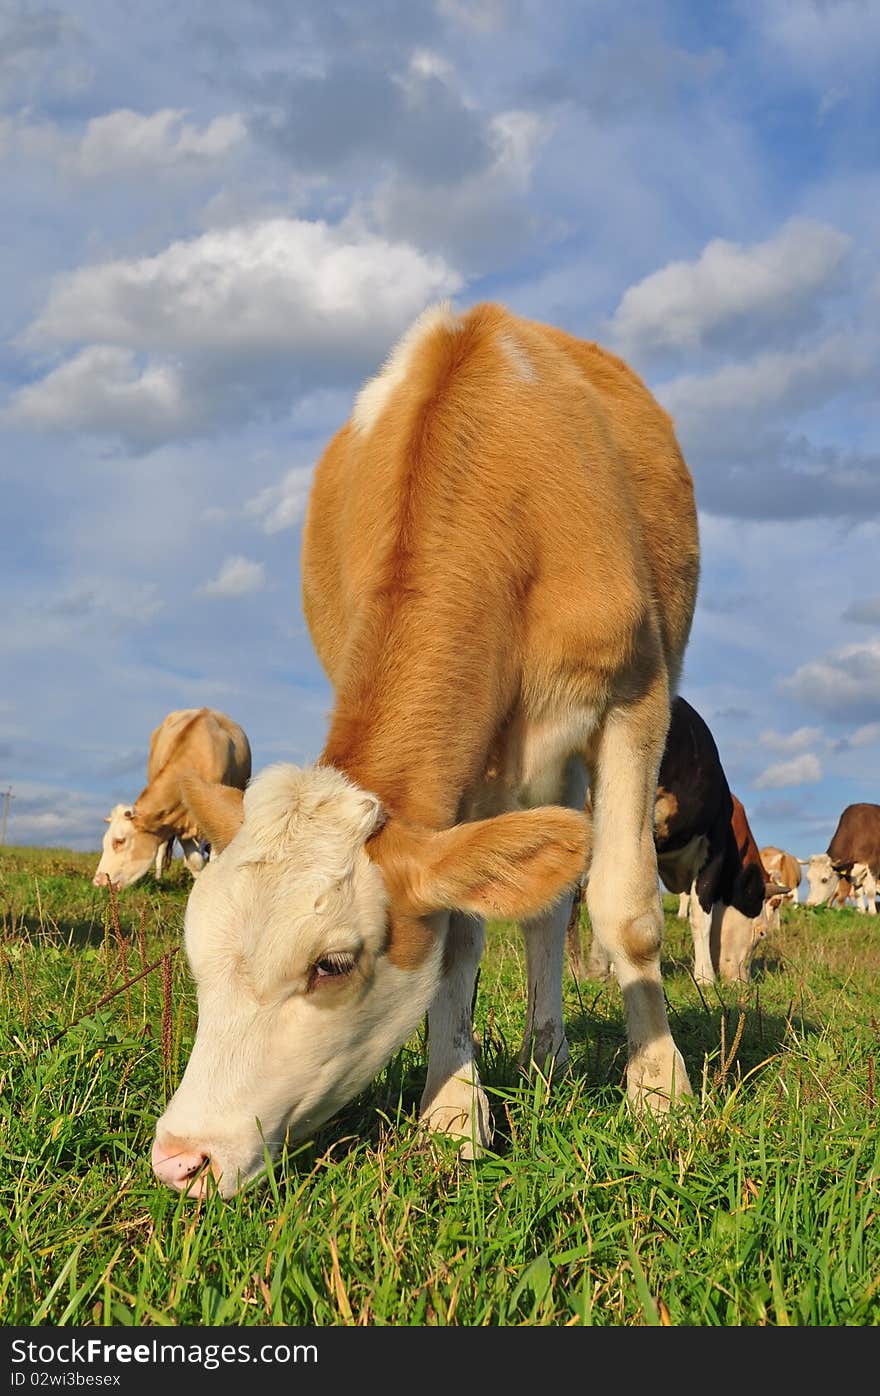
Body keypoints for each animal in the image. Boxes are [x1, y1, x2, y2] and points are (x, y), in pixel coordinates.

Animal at [93, 709, 251, 893]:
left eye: (119, 841)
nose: (98, 881)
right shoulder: (177, 821)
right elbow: (195, 862)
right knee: (162, 849)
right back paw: (159, 878)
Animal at [151, 300, 704, 1194]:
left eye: (333, 965)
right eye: (196, 958)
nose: (180, 1158)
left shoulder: (636, 693)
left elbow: (627, 910)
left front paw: (662, 1096)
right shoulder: (467, 762)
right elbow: (459, 938)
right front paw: (451, 1115)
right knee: (541, 907)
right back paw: (543, 1060)